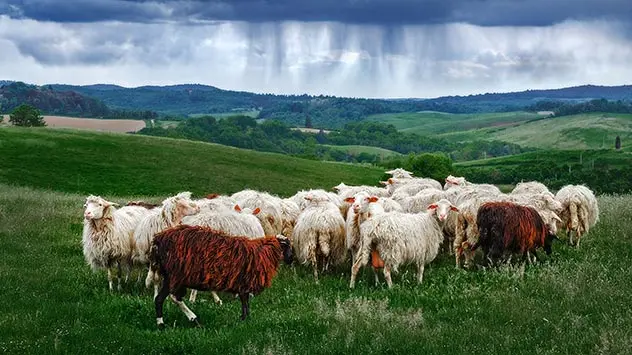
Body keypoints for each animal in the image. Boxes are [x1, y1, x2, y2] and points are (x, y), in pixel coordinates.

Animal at [149, 227, 292, 330]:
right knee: (164, 298)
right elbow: (245, 302)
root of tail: (158, 240)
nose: (290, 260)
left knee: (172, 298)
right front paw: (245, 320)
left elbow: (244, 302)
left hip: (174, 276)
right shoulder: (244, 283)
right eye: (288, 246)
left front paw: (245, 318)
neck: (263, 253)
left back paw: (192, 320)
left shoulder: (242, 284)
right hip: (175, 275)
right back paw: (165, 323)